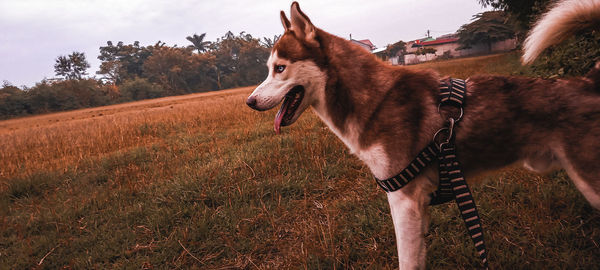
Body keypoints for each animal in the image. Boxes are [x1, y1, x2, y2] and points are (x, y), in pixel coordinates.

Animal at [246, 1, 596, 268]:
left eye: (279, 68)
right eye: (268, 69)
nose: (249, 102)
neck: (375, 99)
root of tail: (589, 81)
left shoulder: (404, 199)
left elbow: (407, 260)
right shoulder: (416, 205)